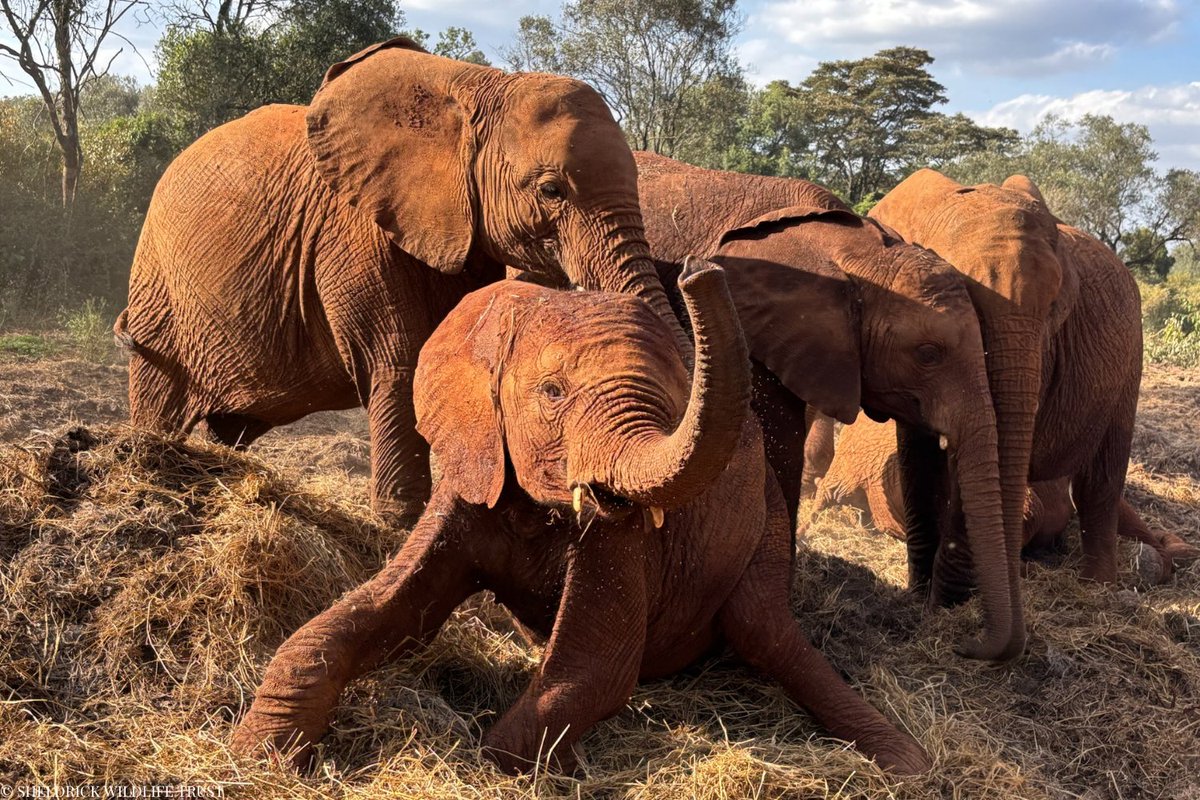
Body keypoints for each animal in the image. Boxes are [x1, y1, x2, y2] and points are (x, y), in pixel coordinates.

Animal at [117, 37, 689, 527]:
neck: (475, 90)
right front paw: (399, 525)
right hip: (159, 289)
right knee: (160, 398)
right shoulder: (353, 229)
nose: (690, 273)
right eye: (551, 190)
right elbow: (398, 360)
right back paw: (151, 462)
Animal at [230, 263, 932, 776]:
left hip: (767, 528)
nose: (699, 274)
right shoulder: (472, 472)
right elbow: (383, 611)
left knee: (770, 637)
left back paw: (908, 764)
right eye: (552, 393)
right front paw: (258, 753)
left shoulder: (619, 538)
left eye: (673, 405)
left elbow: (593, 671)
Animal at [868, 170, 1183, 602]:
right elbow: (918, 453)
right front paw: (919, 596)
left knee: (1101, 477)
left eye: (1055, 308)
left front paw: (945, 599)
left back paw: (1098, 589)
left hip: (1130, 360)